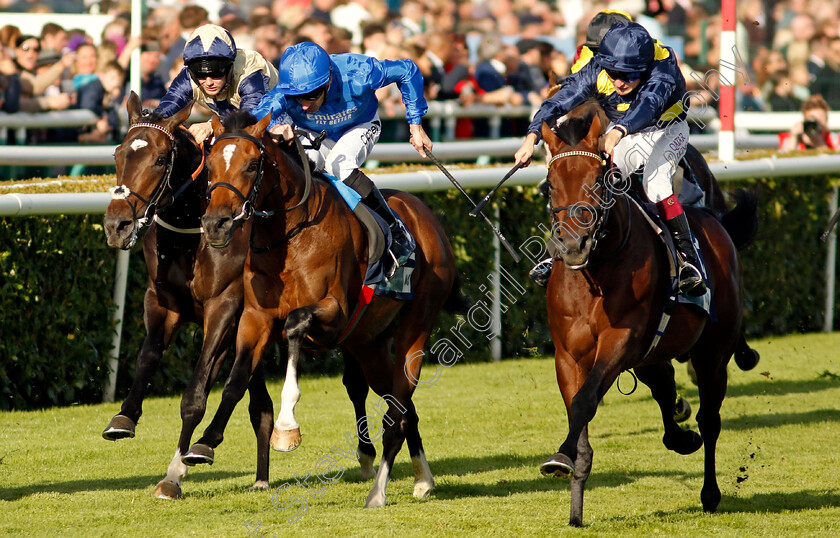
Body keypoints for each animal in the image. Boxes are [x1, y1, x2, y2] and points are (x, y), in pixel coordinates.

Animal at [103, 93, 378, 498]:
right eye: (118, 154)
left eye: (159, 159)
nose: (117, 225)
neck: (191, 236)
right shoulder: (162, 301)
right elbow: (148, 356)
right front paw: (125, 418)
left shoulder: (225, 308)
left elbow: (197, 393)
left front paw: (179, 469)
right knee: (260, 405)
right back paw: (262, 474)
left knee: (355, 384)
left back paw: (364, 453)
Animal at [189, 111, 460, 504]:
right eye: (209, 165)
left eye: (253, 165)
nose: (215, 224)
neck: (288, 237)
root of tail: (426, 215)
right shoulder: (255, 318)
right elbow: (236, 380)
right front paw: (205, 442)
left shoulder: (336, 313)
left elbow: (295, 323)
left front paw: (287, 426)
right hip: (369, 343)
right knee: (401, 404)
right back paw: (423, 477)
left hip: (416, 322)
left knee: (399, 404)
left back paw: (387, 489)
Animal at [540, 100, 760, 524]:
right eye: (550, 183)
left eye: (599, 181)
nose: (573, 246)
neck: (595, 272)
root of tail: (715, 223)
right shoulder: (567, 355)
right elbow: (579, 414)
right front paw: (573, 500)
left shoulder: (620, 340)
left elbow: (585, 401)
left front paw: (560, 459)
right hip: (652, 355)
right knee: (665, 389)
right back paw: (681, 434)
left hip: (712, 354)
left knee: (710, 419)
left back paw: (710, 491)